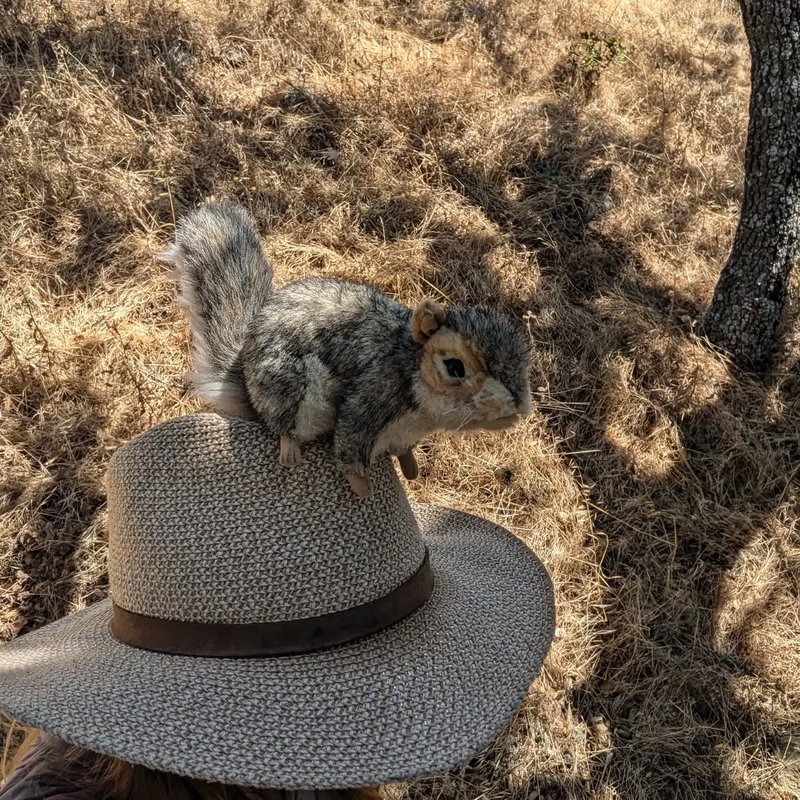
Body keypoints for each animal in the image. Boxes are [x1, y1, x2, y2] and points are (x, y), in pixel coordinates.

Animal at [160, 199, 533, 497]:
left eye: (522, 359)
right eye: (455, 367)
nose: (519, 408)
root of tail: (248, 376)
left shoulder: (405, 430)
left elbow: (402, 449)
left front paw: (409, 465)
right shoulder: (374, 393)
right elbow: (350, 442)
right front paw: (360, 484)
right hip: (291, 391)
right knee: (283, 424)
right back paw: (289, 447)